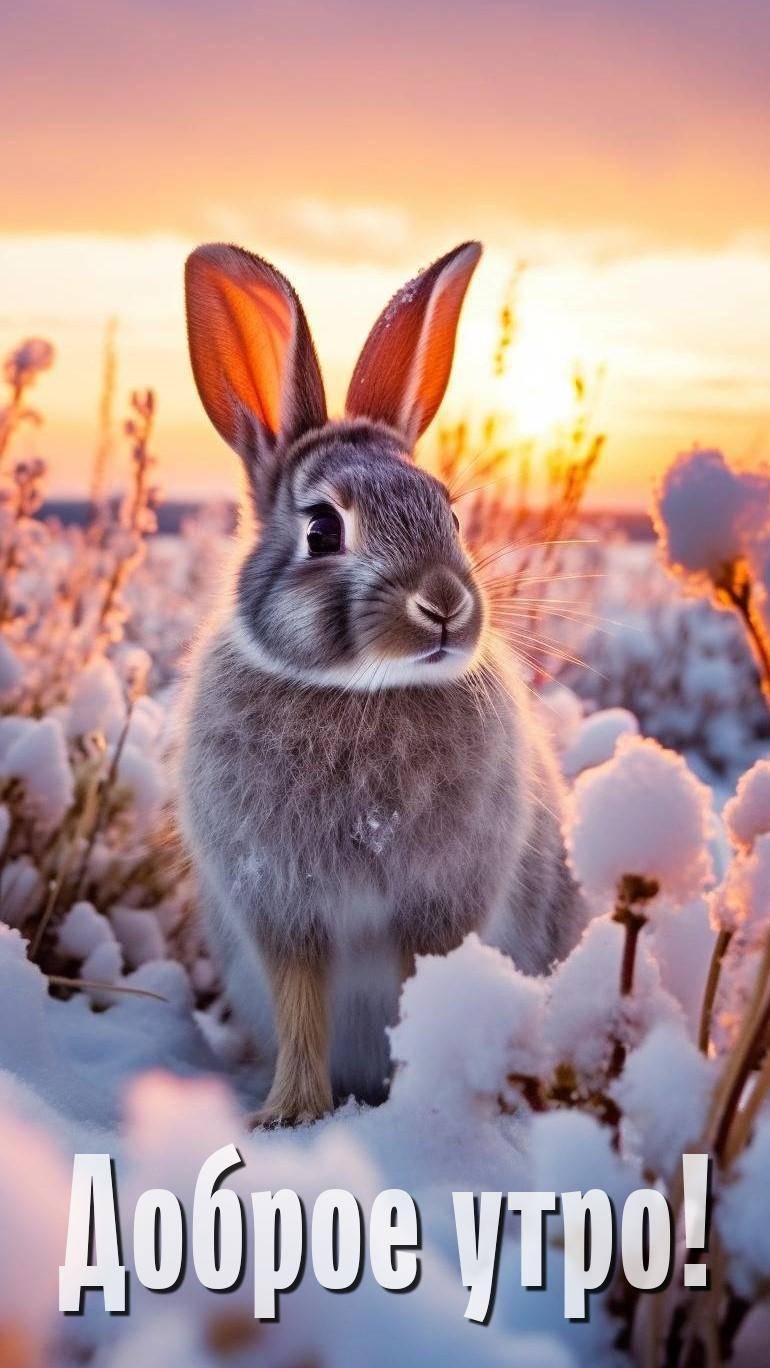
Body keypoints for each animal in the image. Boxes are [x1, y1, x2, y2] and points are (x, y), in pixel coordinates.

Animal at [180, 240, 586, 1125]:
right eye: (323, 530)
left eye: (449, 513)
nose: (445, 604)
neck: (361, 692)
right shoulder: (284, 910)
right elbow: (302, 1007)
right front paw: (289, 1115)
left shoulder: (435, 911)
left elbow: (414, 997)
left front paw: (412, 1105)